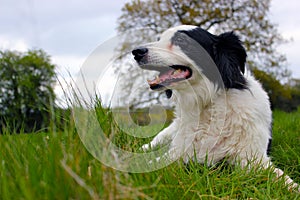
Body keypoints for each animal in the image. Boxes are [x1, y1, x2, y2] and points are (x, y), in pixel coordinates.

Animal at [132, 25, 298, 191]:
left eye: (181, 40)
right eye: (159, 39)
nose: (136, 52)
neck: (208, 104)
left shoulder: (253, 158)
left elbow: (282, 178)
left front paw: (294, 188)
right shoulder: (178, 152)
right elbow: (150, 164)